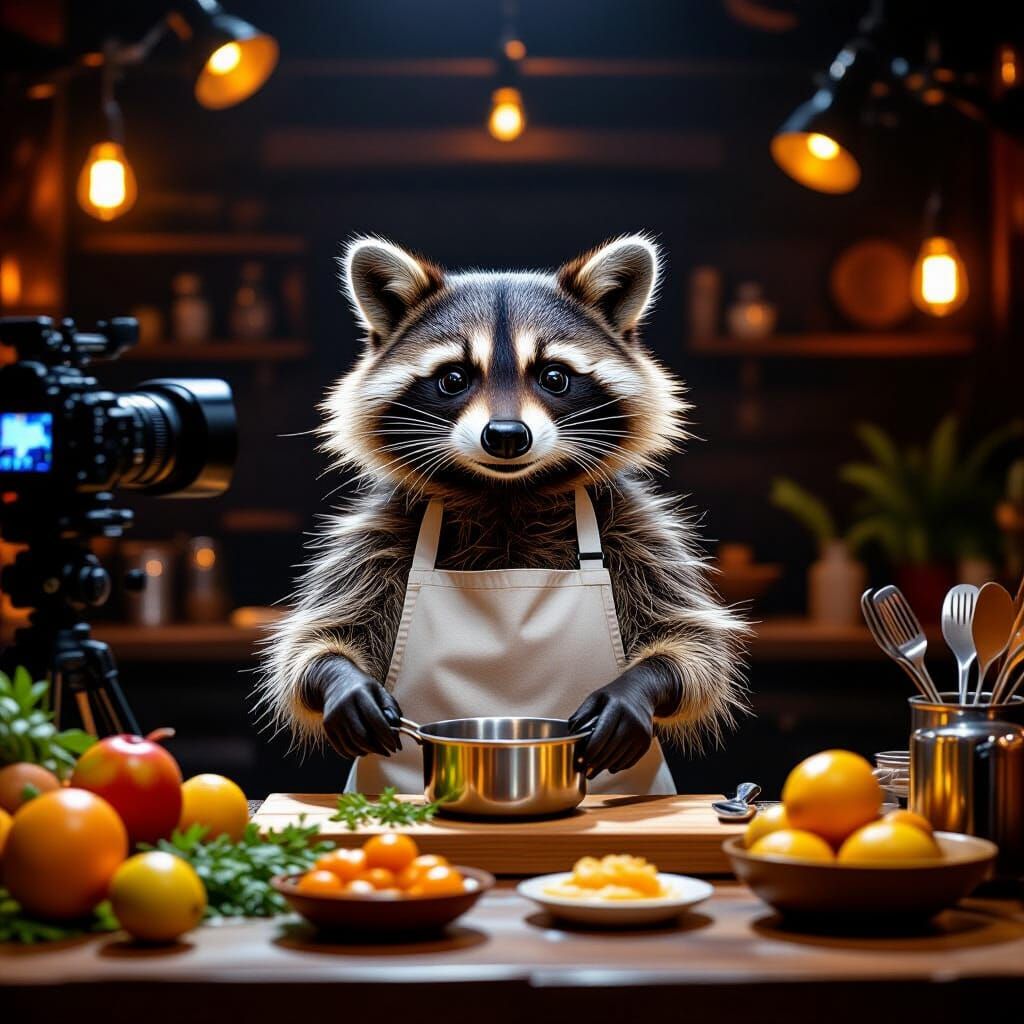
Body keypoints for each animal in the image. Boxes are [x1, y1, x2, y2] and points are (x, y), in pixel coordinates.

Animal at [257, 234, 748, 775]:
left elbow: (692, 640)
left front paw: (635, 688)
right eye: (453, 379)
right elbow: (320, 633)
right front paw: (338, 677)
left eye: (554, 377)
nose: (507, 436)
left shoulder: (632, 525)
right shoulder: (383, 530)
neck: (507, 494)